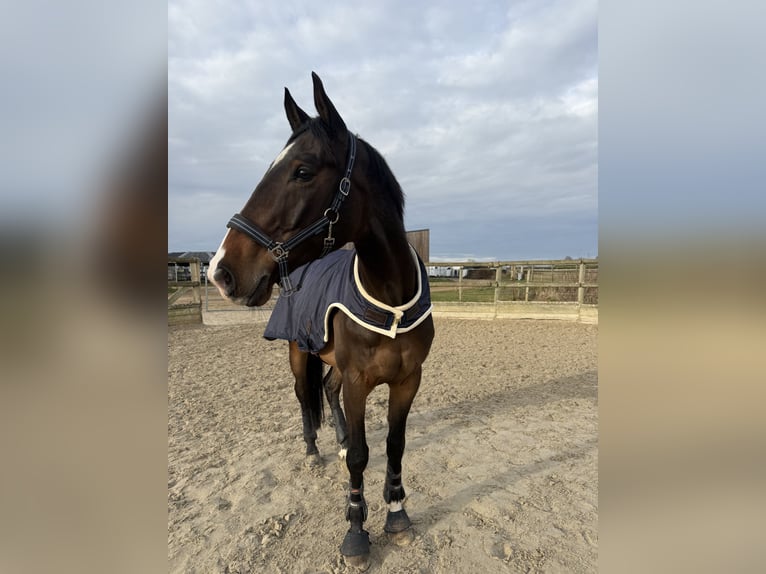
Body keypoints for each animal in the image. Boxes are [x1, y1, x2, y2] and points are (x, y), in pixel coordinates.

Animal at [207, 72, 434, 569]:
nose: (221, 271)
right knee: (304, 396)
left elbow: (394, 446)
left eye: (303, 171)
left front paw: (396, 513)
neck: (390, 297)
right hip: (299, 354)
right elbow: (361, 458)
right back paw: (313, 450)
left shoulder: (407, 379)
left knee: (326, 390)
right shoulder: (358, 380)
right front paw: (356, 533)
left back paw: (339, 437)